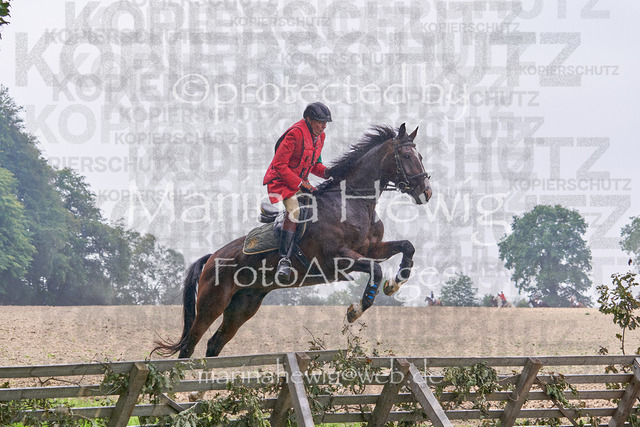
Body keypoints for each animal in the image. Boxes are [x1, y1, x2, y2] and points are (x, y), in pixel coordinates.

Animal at [154, 124, 432, 359]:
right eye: (406, 156)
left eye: (419, 155)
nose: (426, 192)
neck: (352, 201)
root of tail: (211, 257)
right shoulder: (336, 258)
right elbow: (375, 269)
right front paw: (356, 310)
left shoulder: (371, 249)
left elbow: (406, 247)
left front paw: (395, 284)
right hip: (213, 303)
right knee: (190, 343)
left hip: (244, 305)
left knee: (215, 343)